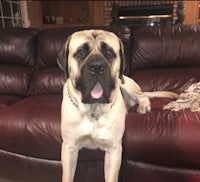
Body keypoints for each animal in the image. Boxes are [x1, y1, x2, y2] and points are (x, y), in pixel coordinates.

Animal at [57, 29, 177, 181]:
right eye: (81, 53)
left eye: (109, 53)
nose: (97, 67)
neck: (94, 110)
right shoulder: (69, 148)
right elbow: (67, 176)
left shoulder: (114, 150)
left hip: (126, 85)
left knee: (143, 96)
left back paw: (143, 106)